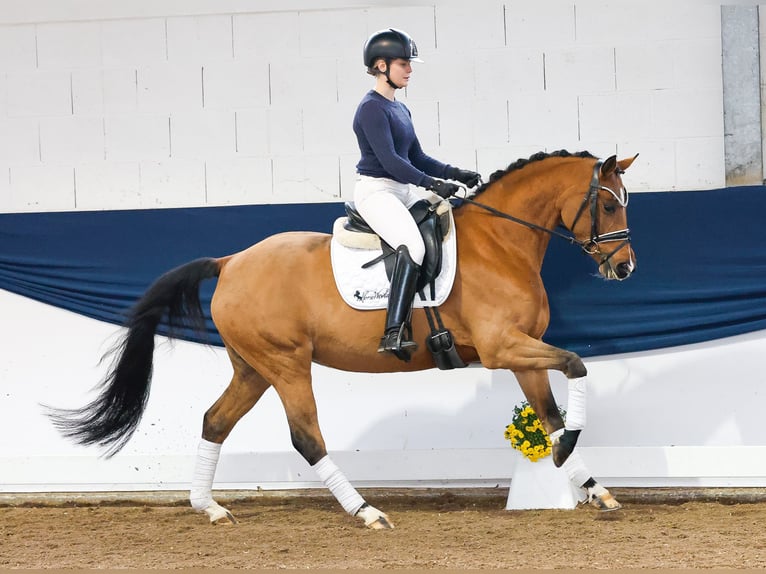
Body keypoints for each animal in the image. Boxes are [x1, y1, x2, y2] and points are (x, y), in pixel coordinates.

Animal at [46, 150, 636, 532]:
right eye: (609, 206)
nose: (625, 268)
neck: (501, 243)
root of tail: (232, 261)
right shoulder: (501, 348)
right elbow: (577, 365)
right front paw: (569, 454)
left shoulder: (522, 353)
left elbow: (552, 412)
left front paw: (591, 483)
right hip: (286, 364)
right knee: (307, 437)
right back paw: (366, 512)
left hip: (252, 367)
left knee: (215, 420)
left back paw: (209, 507)